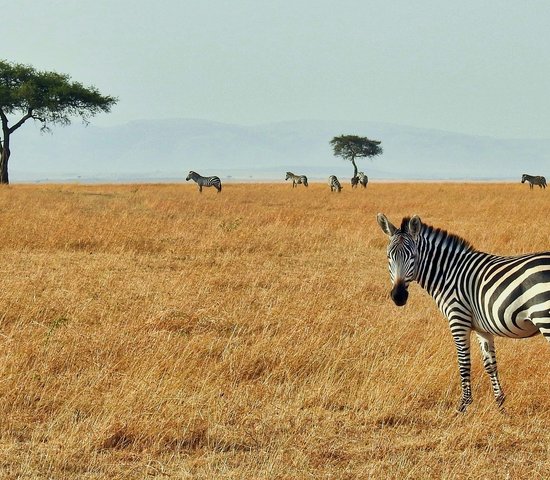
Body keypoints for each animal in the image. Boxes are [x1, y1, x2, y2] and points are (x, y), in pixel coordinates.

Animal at [378, 214, 550, 412]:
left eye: (413, 256)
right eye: (388, 257)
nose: (398, 296)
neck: (448, 273)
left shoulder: (458, 319)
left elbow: (464, 363)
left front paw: (463, 405)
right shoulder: (483, 328)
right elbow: (490, 365)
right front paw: (500, 405)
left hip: (545, 317)